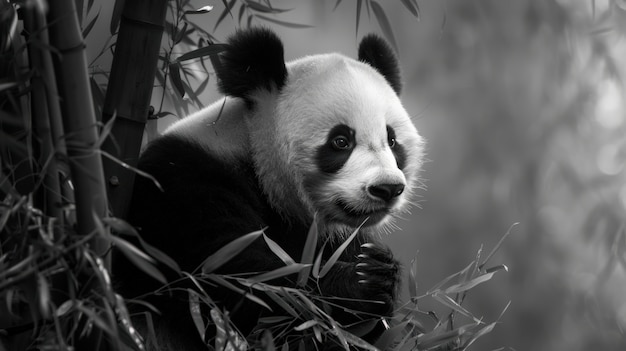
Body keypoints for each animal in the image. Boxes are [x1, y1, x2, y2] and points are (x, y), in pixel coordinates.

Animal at [117, 28, 424, 351]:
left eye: (392, 140)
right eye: (341, 141)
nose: (387, 188)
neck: (254, 153)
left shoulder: (333, 237)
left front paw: (377, 273)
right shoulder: (182, 188)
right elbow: (246, 289)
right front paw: (362, 281)